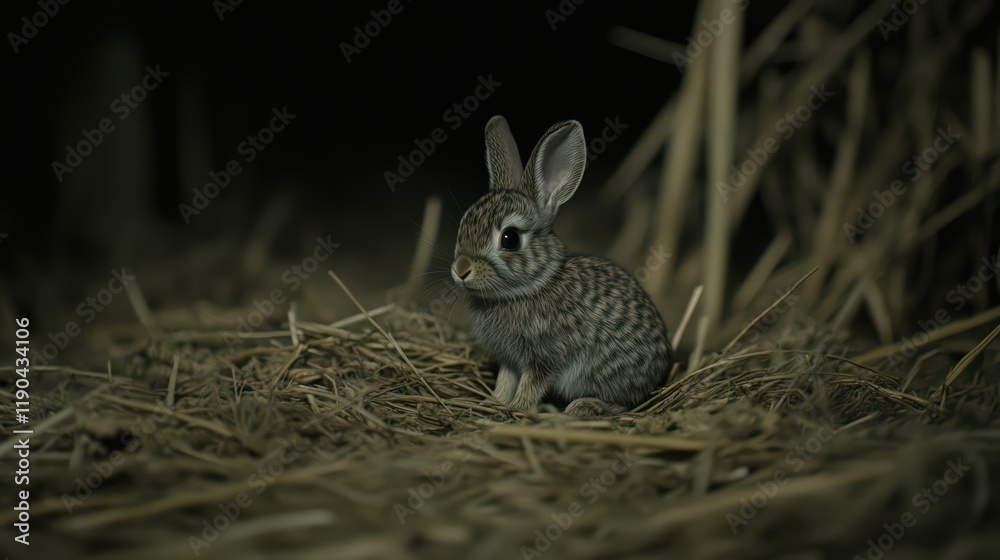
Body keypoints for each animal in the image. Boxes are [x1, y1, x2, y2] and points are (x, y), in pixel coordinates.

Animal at [450, 115, 674, 416]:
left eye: (510, 239)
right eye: (463, 224)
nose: (461, 270)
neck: (528, 289)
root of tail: (661, 372)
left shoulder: (545, 357)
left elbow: (531, 384)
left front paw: (519, 408)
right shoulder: (510, 358)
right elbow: (506, 379)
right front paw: (494, 401)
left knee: (624, 404)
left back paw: (585, 405)